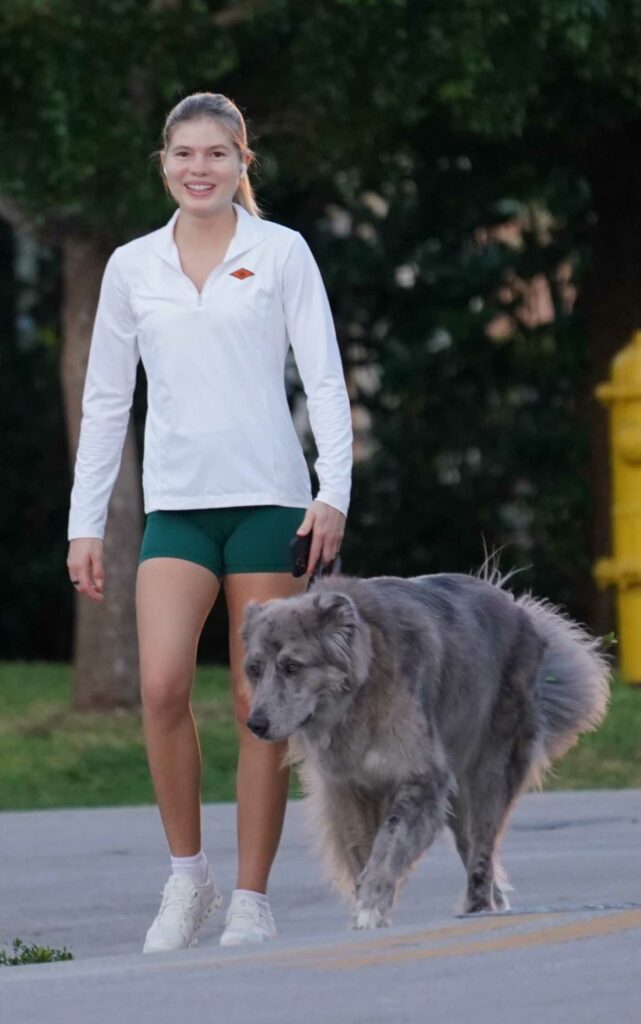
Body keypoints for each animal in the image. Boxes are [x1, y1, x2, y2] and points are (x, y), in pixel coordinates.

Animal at [240, 573, 610, 933]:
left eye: (292, 666)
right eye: (254, 669)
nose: (255, 724)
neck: (361, 689)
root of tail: (518, 608)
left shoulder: (421, 778)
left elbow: (388, 843)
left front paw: (371, 907)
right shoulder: (347, 789)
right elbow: (361, 850)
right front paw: (366, 903)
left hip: (489, 773)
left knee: (482, 847)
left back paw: (479, 907)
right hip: (457, 795)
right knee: (470, 845)